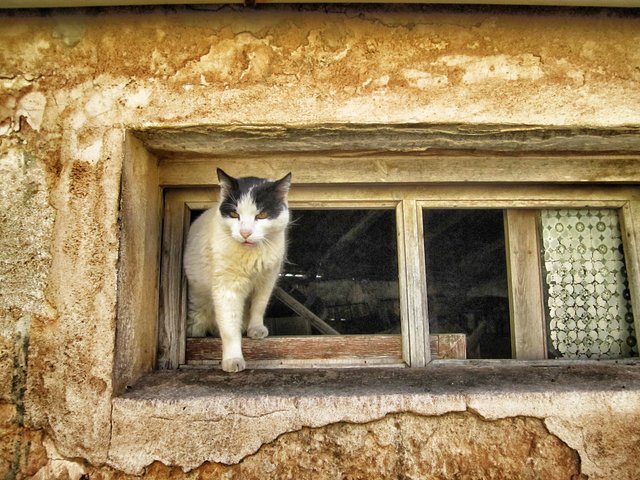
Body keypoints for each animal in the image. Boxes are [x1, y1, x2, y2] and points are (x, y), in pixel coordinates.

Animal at [182, 170, 292, 376]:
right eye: (234, 214)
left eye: (261, 215)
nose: (245, 233)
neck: (251, 254)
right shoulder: (226, 288)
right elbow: (229, 327)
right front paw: (233, 359)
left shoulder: (267, 280)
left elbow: (259, 306)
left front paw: (255, 329)